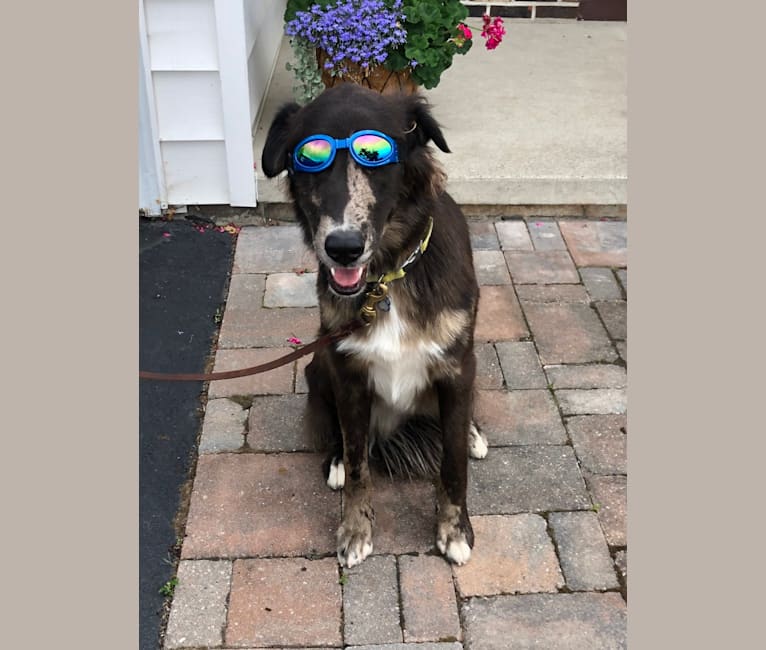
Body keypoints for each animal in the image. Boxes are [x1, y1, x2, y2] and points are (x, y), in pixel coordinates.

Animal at [260, 83, 488, 564]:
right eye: (308, 158)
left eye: (375, 154)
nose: (343, 248)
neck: (387, 279)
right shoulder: (347, 371)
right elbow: (358, 460)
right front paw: (355, 528)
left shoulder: (458, 365)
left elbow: (453, 462)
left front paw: (454, 530)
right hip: (318, 365)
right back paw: (335, 460)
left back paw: (475, 432)